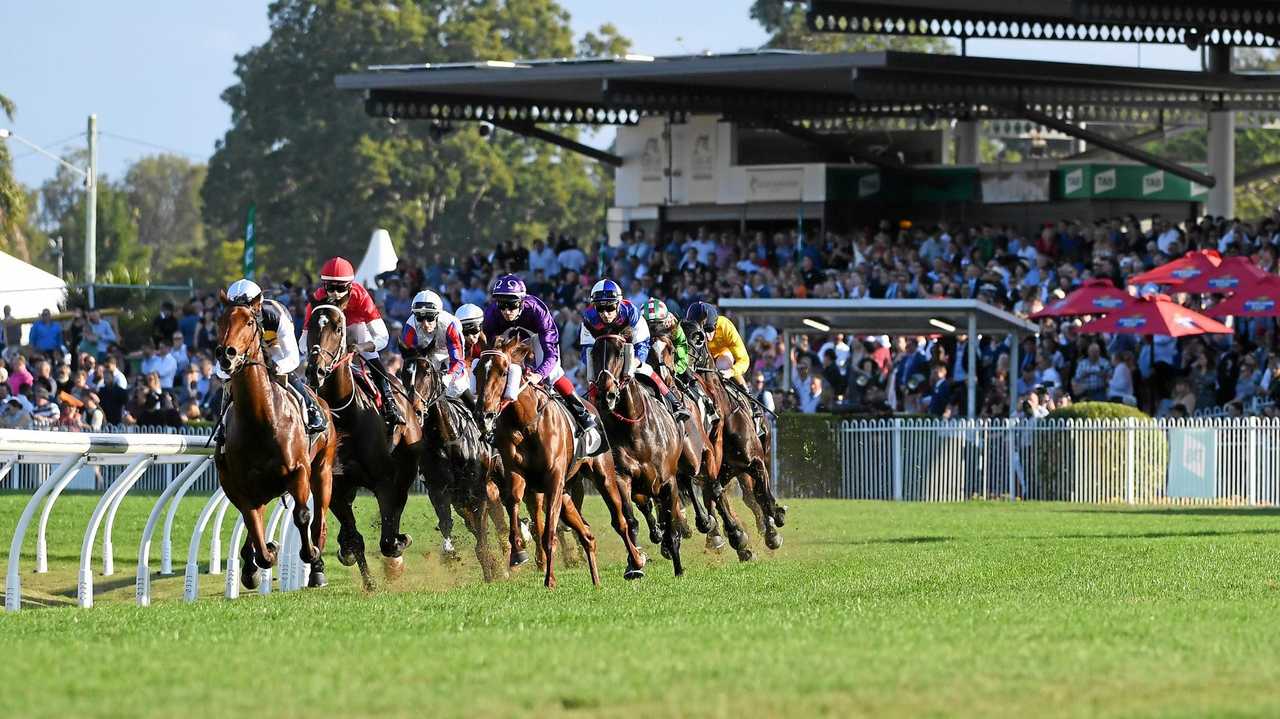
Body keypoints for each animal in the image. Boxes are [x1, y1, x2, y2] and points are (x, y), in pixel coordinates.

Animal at [213, 291, 335, 588]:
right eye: (220, 321)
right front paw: (261, 557)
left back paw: (317, 567)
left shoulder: (299, 471)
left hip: (323, 470)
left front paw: (310, 555)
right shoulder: (241, 487)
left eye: (248, 322)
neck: (260, 420)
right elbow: (253, 526)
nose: (226, 354)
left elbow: (302, 515)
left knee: (320, 521)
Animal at [303, 300, 419, 583]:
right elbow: (355, 538)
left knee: (398, 507)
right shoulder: (335, 483)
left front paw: (397, 550)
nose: (315, 370)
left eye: (337, 327)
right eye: (310, 325)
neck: (344, 413)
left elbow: (388, 538)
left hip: (406, 469)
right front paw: (368, 581)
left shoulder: (384, 480)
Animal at [407, 353, 512, 583]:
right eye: (404, 372)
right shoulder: (440, 490)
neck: (449, 441)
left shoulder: (478, 491)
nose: (416, 410)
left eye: (427, 372)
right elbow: (447, 522)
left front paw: (490, 571)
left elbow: (481, 536)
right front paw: (449, 553)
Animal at [476, 327, 645, 585]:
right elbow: (514, 502)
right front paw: (518, 552)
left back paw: (636, 562)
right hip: (566, 493)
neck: (526, 422)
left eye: (504, 372)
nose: (483, 415)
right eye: (477, 371)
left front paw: (550, 580)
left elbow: (549, 532)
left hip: (603, 476)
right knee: (587, 535)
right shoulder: (517, 474)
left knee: (621, 522)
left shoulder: (553, 480)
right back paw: (596, 581)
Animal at [686, 319, 783, 560]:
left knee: (751, 495)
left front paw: (774, 525)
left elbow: (763, 495)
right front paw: (728, 538)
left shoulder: (756, 462)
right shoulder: (711, 470)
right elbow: (715, 499)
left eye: (698, 338)